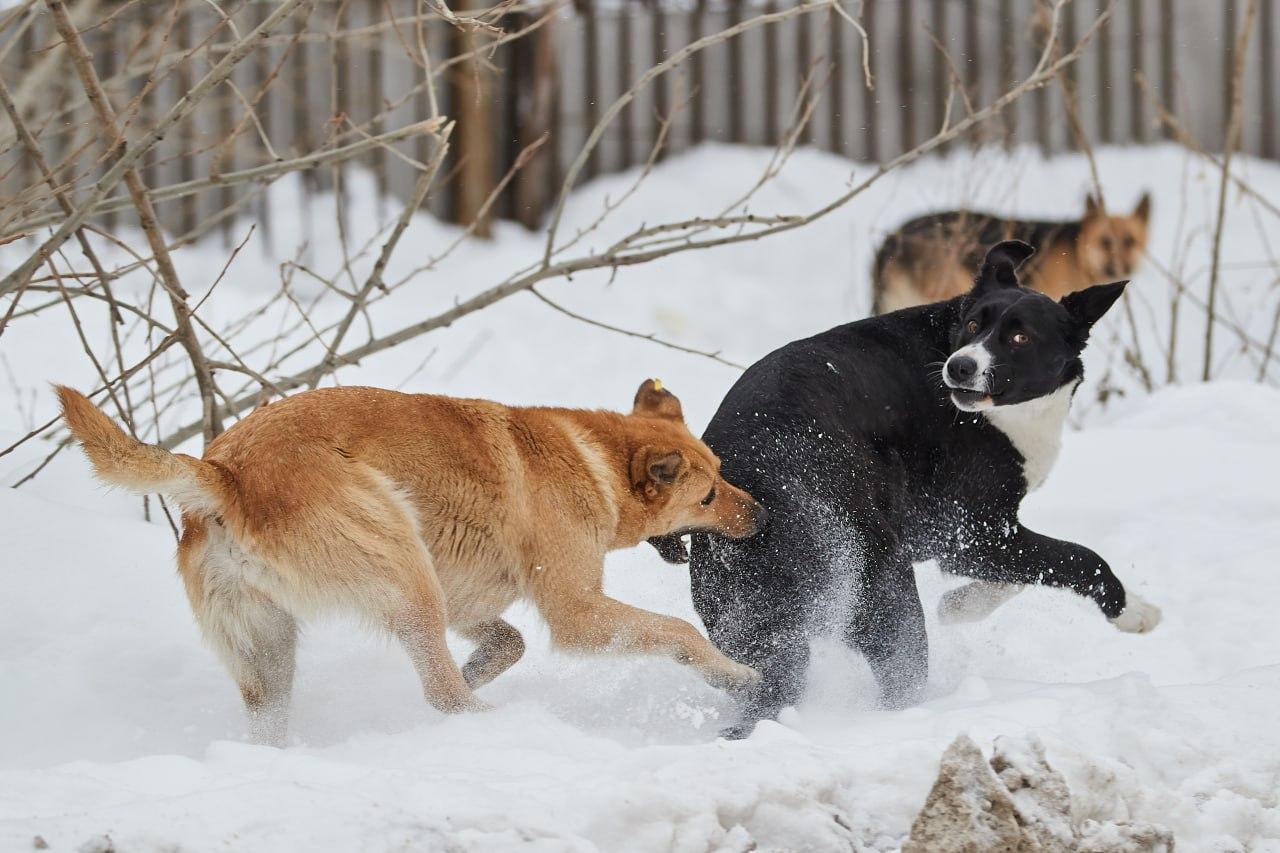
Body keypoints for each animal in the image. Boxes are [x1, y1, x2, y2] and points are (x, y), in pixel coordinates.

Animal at [57, 376, 757, 742]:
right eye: (708, 495)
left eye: (722, 471)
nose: (765, 515)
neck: (595, 460)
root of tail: (227, 476)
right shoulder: (577, 613)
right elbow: (680, 633)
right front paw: (738, 676)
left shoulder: (470, 602)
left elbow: (506, 644)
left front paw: (480, 667)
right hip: (405, 571)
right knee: (443, 697)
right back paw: (504, 730)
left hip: (272, 655)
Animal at [650, 236, 1162, 732]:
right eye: (973, 325)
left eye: (1019, 337)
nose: (959, 367)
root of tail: (761, 502)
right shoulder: (973, 532)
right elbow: (1077, 559)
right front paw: (1134, 612)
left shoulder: (975, 540)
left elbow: (1025, 574)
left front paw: (961, 606)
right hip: (885, 587)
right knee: (900, 681)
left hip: (744, 623)